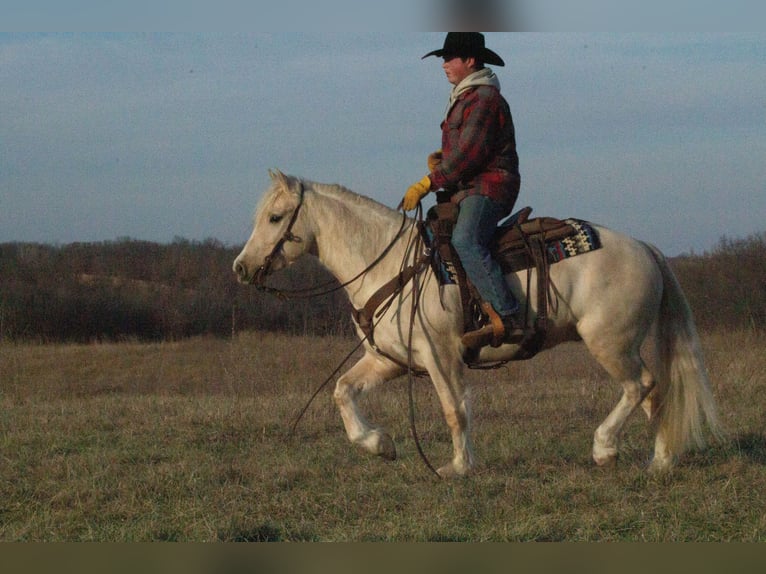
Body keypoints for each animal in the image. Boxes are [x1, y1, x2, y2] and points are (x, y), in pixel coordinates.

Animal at [231, 170, 724, 476]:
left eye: (275, 217)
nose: (241, 267)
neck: (389, 264)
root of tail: (644, 248)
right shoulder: (388, 360)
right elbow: (342, 391)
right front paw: (379, 444)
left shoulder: (440, 354)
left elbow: (455, 409)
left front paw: (458, 466)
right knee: (655, 394)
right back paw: (660, 462)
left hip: (610, 343)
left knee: (640, 386)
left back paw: (605, 449)